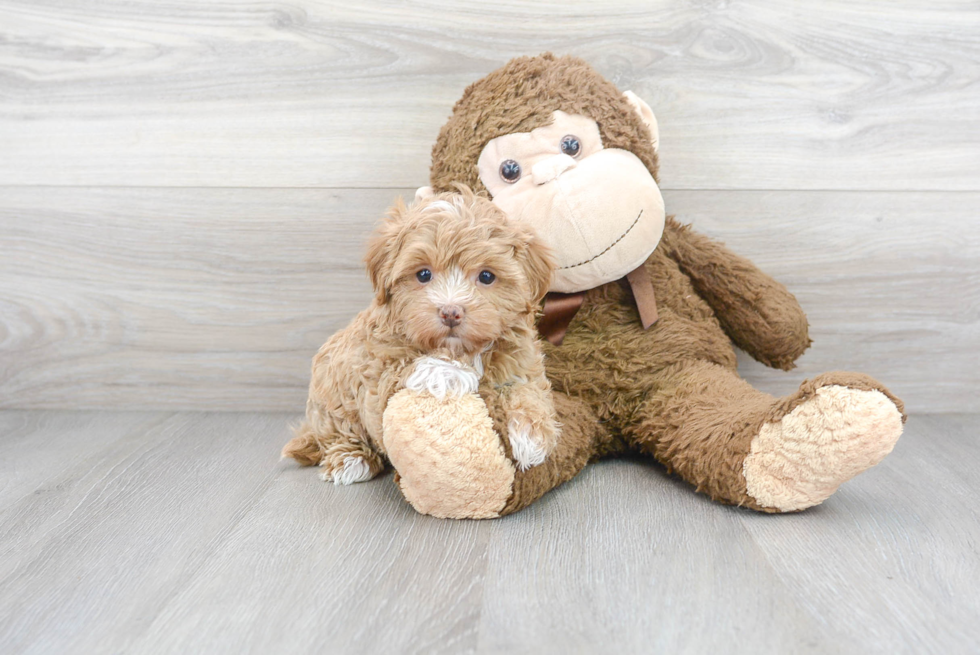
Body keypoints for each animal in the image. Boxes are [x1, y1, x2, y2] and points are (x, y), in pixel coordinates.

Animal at [284, 187, 560, 484]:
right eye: (424, 274)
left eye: (487, 276)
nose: (451, 312)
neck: (462, 349)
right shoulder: (374, 370)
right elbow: (407, 368)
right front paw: (454, 372)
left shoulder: (520, 363)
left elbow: (527, 390)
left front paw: (532, 437)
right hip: (330, 399)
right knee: (337, 432)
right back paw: (350, 459)